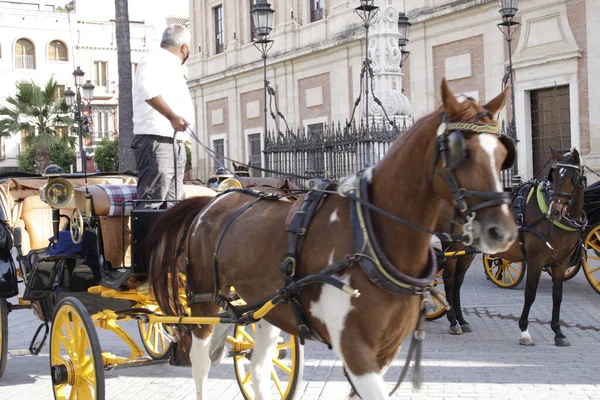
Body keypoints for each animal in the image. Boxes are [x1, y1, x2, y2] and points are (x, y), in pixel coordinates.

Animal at [148, 79, 516, 400]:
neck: (370, 237)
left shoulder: (383, 352)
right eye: (460, 152)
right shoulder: (356, 350)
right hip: (203, 301)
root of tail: (212, 201)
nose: (503, 231)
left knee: (258, 368)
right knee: (200, 364)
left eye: (502, 154)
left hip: (264, 307)